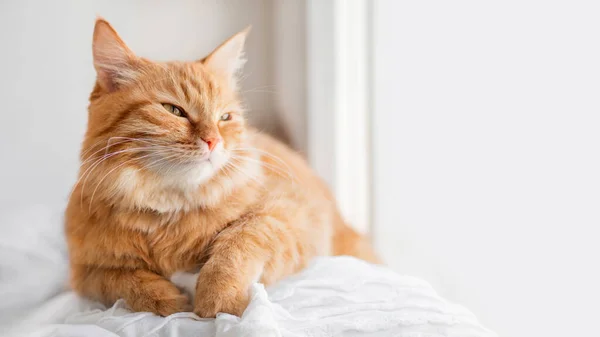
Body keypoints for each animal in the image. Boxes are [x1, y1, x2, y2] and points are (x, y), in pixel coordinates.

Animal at [64, 19, 376, 318]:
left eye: (224, 117)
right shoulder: (85, 273)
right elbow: (123, 280)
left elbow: (238, 241)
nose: (214, 141)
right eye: (174, 110)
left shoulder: (293, 216)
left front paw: (219, 299)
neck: (171, 211)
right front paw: (167, 302)